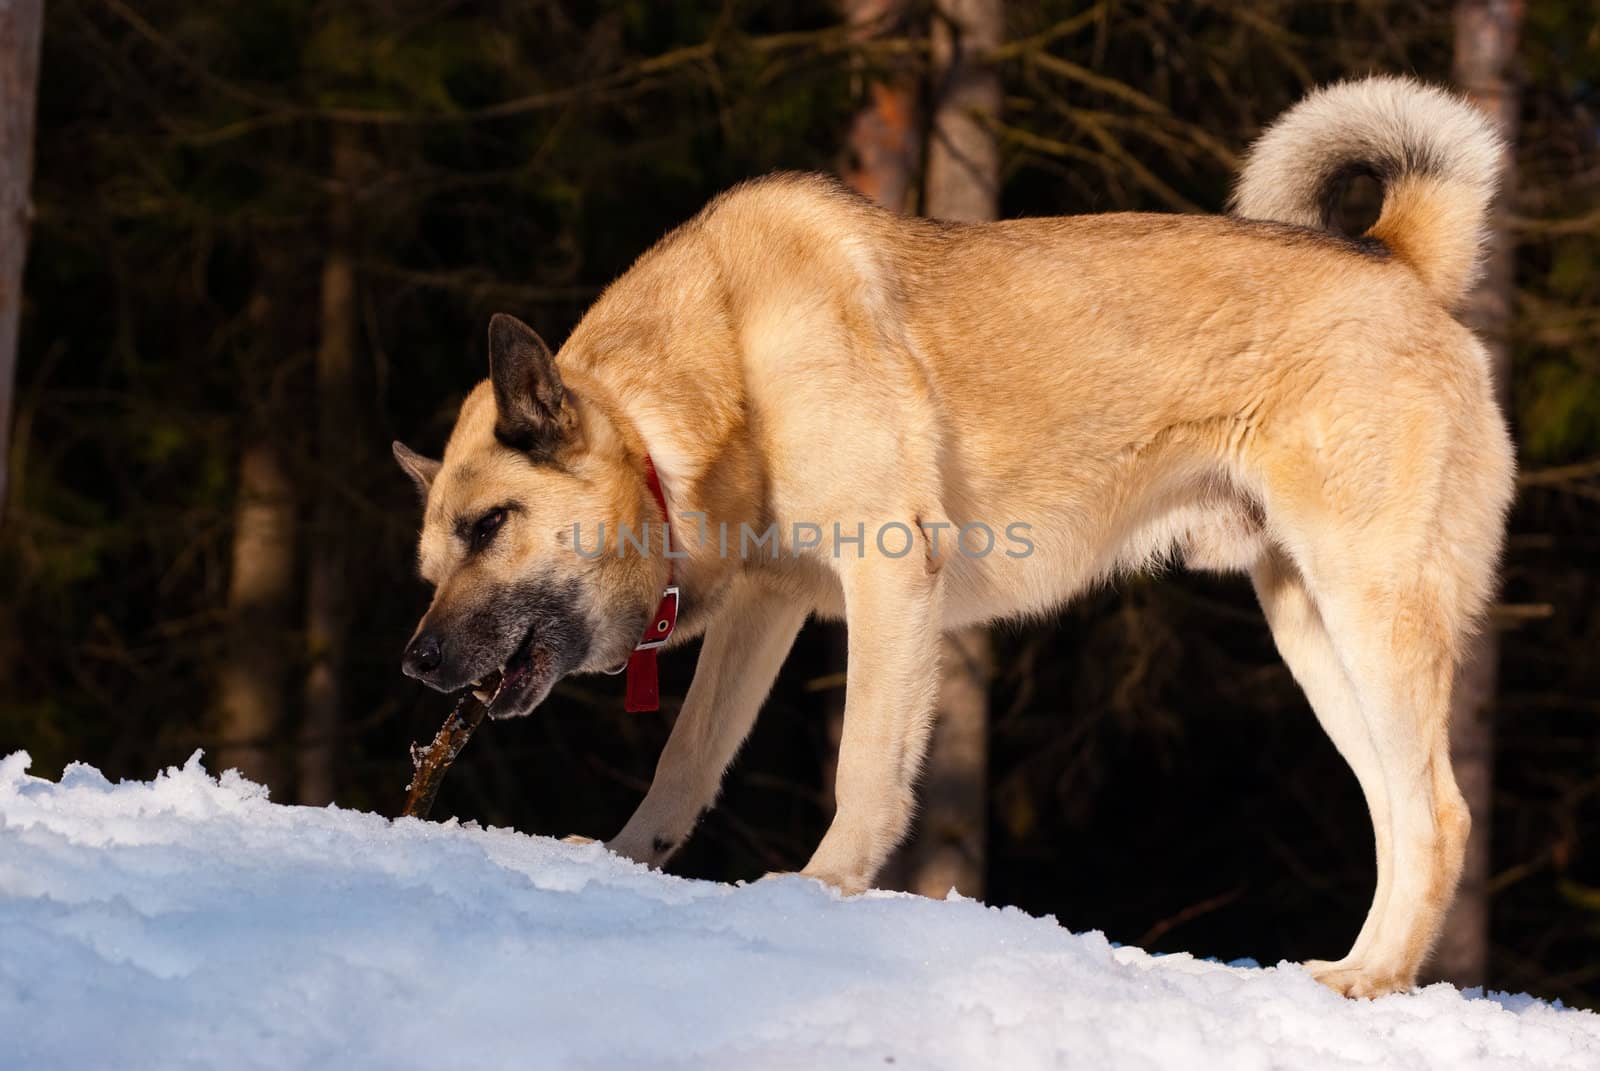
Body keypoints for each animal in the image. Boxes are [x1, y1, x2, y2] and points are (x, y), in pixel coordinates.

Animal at [396, 79, 1510, 998]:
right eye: (432, 560)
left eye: (490, 524)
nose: (417, 663)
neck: (717, 380)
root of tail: (1401, 262)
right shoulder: (768, 605)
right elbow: (686, 759)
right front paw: (623, 859)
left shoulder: (888, 576)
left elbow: (863, 769)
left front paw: (821, 887)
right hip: (1308, 624)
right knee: (1401, 813)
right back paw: (1362, 968)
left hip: (1368, 606)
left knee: (1442, 813)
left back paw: (1371, 979)